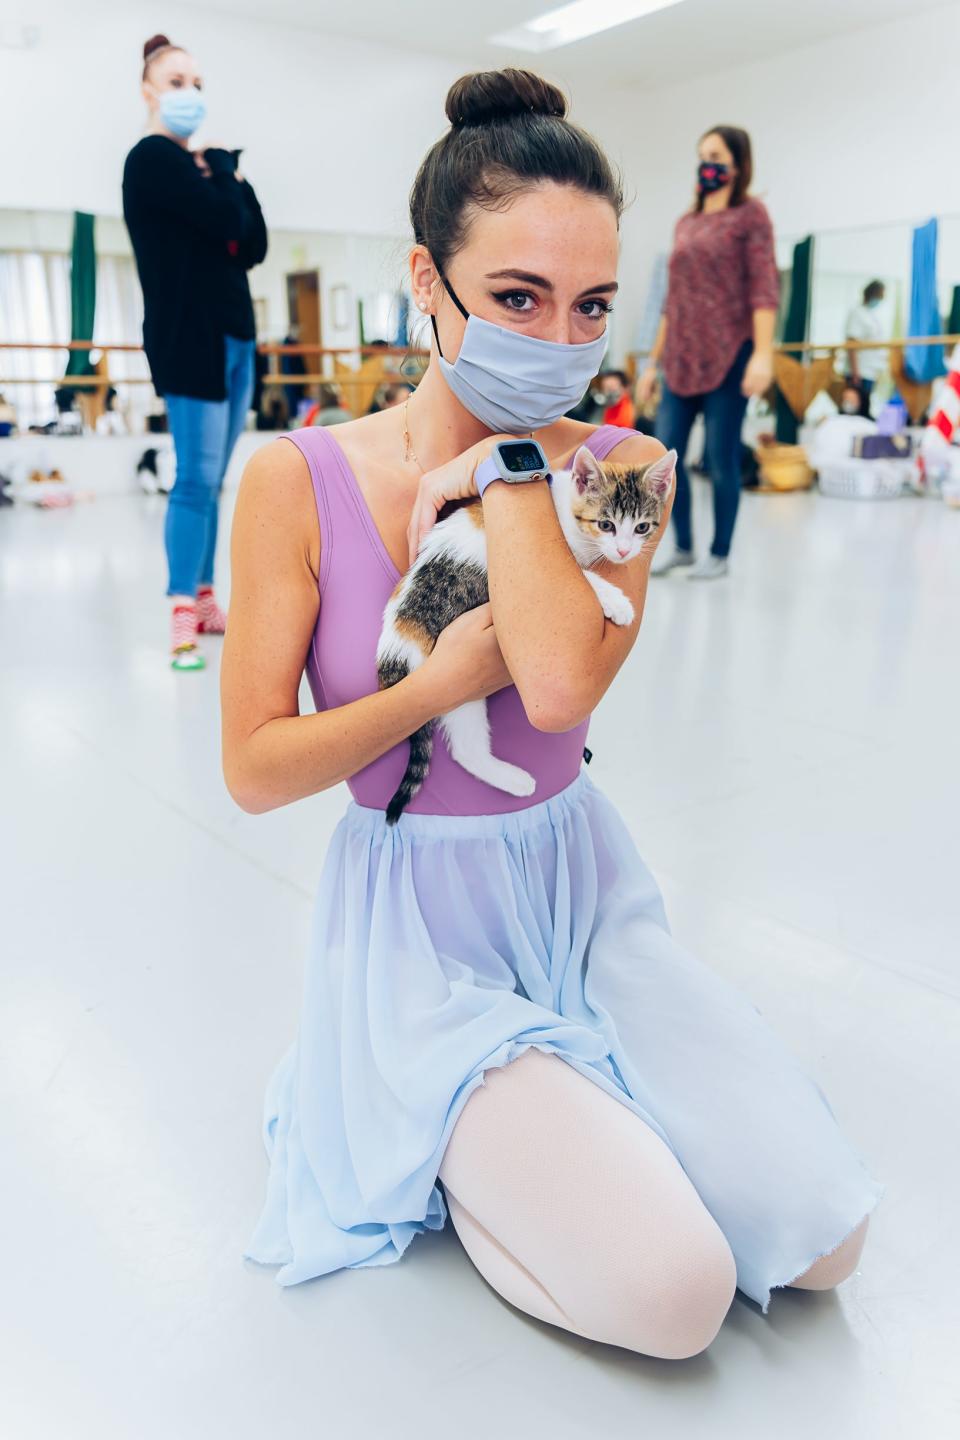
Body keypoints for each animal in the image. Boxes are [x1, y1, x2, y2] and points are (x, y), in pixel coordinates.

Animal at [374, 443, 676, 823]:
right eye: (606, 524)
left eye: (641, 527)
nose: (623, 551)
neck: (565, 512)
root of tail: (396, 648)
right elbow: (582, 577)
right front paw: (617, 602)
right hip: (451, 684)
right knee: (466, 747)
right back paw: (515, 781)